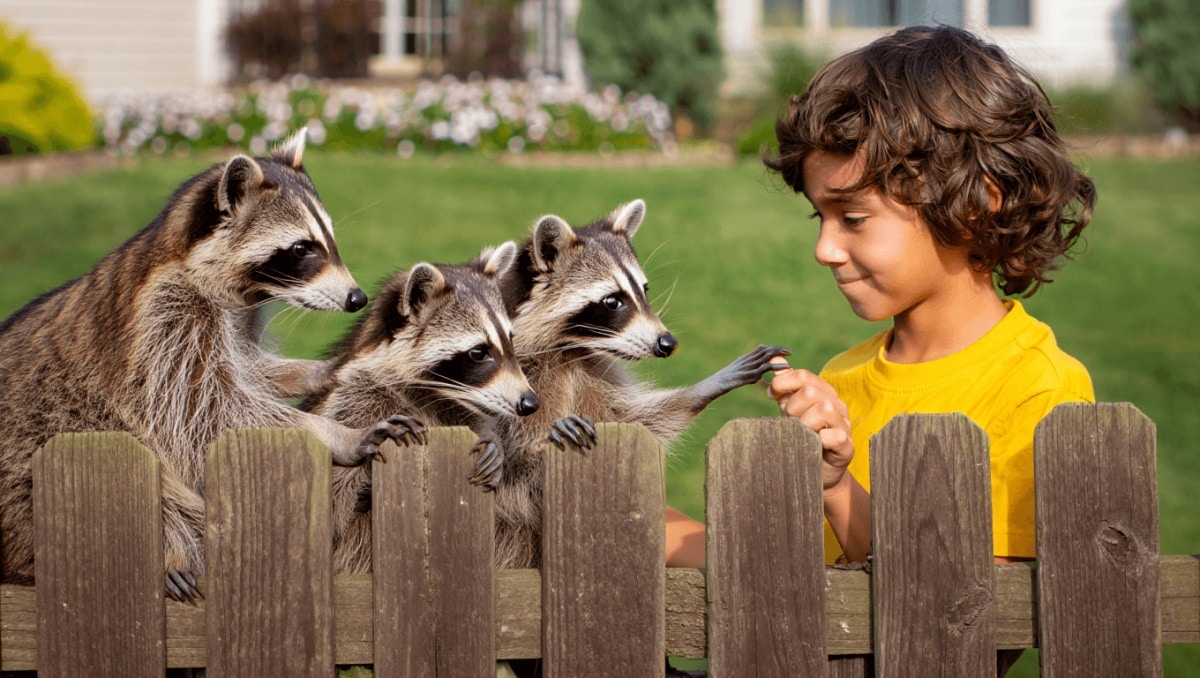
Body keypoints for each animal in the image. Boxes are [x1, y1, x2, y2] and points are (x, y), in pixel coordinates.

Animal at [0, 130, 422, 602]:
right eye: (301, 249)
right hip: (32, 461)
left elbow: (249, 371)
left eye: (329, 241)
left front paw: (318, 370)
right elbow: (207, 411)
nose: (357, 298)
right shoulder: (166, 324)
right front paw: (337, 434)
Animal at [301, 243, 539, 574]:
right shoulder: (353, 402)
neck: (438, 398)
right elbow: (332, 512)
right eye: (478, 352)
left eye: (510, 341)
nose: (530, 403)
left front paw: (496, 448)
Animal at [492, 199, 788, 569]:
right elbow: (510, 473)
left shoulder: (593, 373)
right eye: (612, 301)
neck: (567, 350)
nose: (668, 343)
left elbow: (636, 420)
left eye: (643, 291)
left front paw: (699, 390)